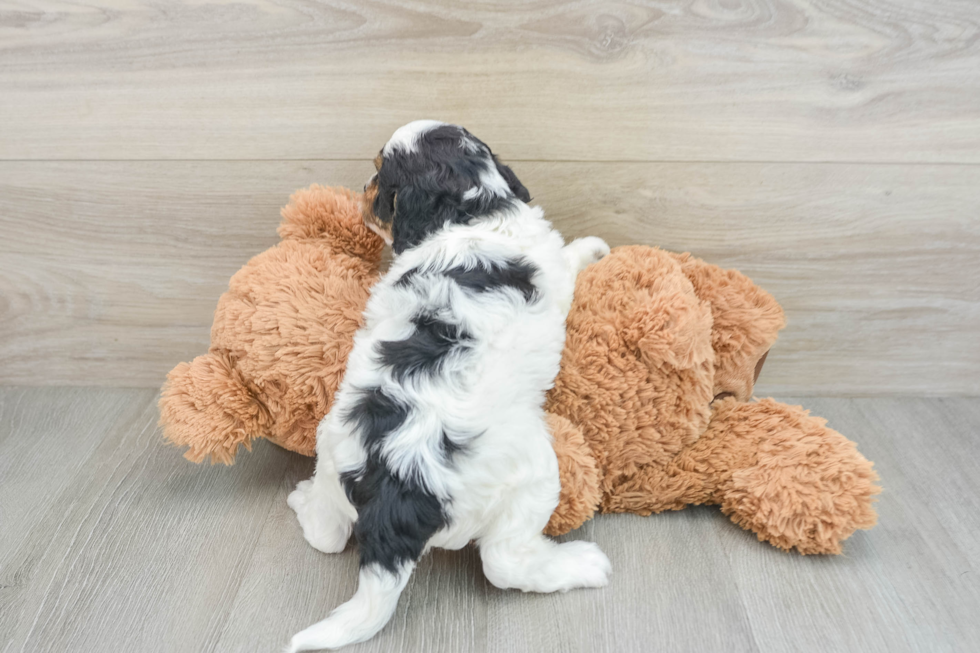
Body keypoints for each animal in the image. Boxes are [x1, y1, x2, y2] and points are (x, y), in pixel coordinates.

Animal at [286, 119, 612, 648]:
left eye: (379, 176)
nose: (362, 191)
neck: (473, 212)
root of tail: (394, 494)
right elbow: (568, 257)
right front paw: (594, 248)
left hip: (331, 446)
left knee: (327, 536)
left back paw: (304, 500)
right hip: (533, 472)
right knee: (503, 563)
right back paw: (580, 564)